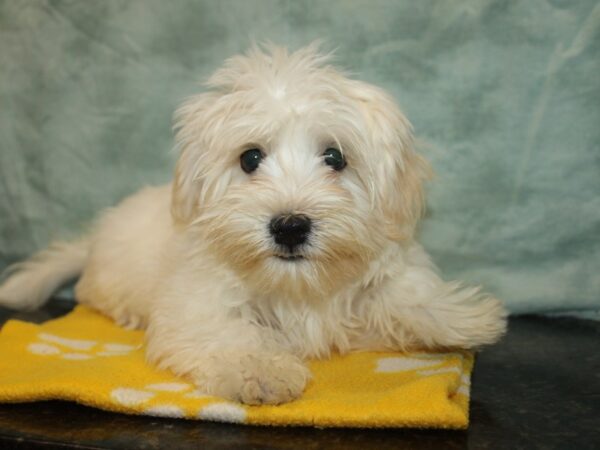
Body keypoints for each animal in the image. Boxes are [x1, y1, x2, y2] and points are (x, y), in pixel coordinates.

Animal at [0, 44, 506, 404]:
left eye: (335, 157)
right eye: (250, 159)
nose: (290, 226)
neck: (297, 288)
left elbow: (403, 291)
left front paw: (455, 315)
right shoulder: (197, 302)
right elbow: (226, 332)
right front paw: (262, 370)